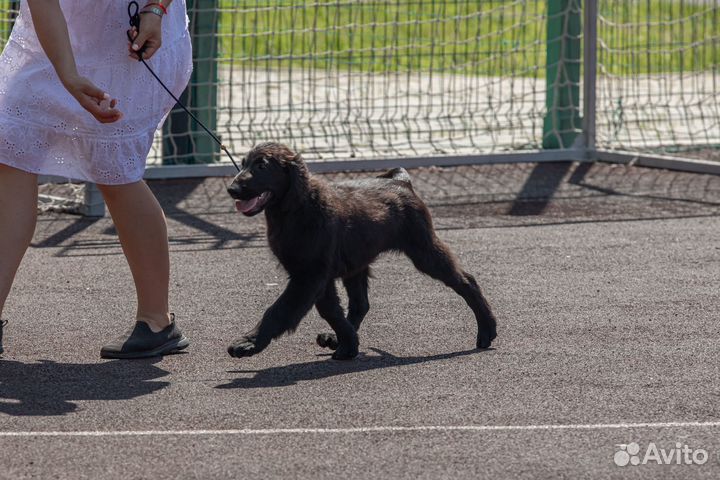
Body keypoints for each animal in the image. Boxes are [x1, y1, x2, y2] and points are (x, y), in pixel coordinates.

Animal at [228, 142, 498, 360]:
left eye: (261, 166)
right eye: (243, 164)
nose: (231, 189)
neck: (296, 210)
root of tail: (401, 181)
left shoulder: (309, 275)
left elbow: (279, 310)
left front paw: (247, 343)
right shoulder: (319, 276)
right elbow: (331, 310)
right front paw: (347, 344)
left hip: (423, 249)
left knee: (466, 281)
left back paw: (487, 330)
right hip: (356, 262)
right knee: (361, 304)